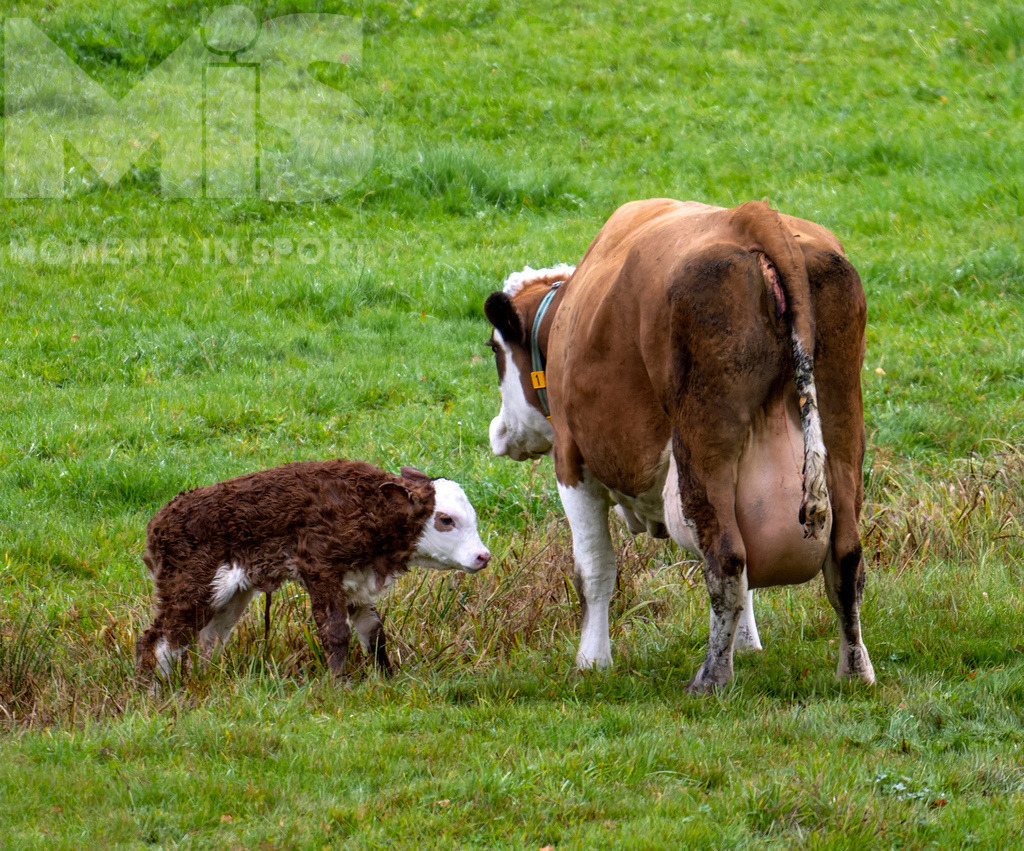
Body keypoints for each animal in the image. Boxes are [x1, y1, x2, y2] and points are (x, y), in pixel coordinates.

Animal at [136, 459, 491, 682]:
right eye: (445, 520)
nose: (482, 555)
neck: (369, 508)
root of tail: (157, 524)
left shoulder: (357, 582)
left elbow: (374, 633)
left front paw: (387, 679)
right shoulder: (320, 568)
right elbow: (336, 632)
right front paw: (339, 685)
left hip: (230, 596)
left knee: (207, 640)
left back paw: (201, 681)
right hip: (190, 587)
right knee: (158, 641)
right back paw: (158, 693)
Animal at [483, 199, 875, 692]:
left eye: (494, 349)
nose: (499, 432)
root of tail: (751, 215)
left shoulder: (572, 463)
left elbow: (594, 570)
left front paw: (592, 661)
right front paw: (748, 646)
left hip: (703, 446)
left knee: (726, 558)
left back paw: (710, 679)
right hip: (841, 429)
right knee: (844, 559)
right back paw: (855, 669)